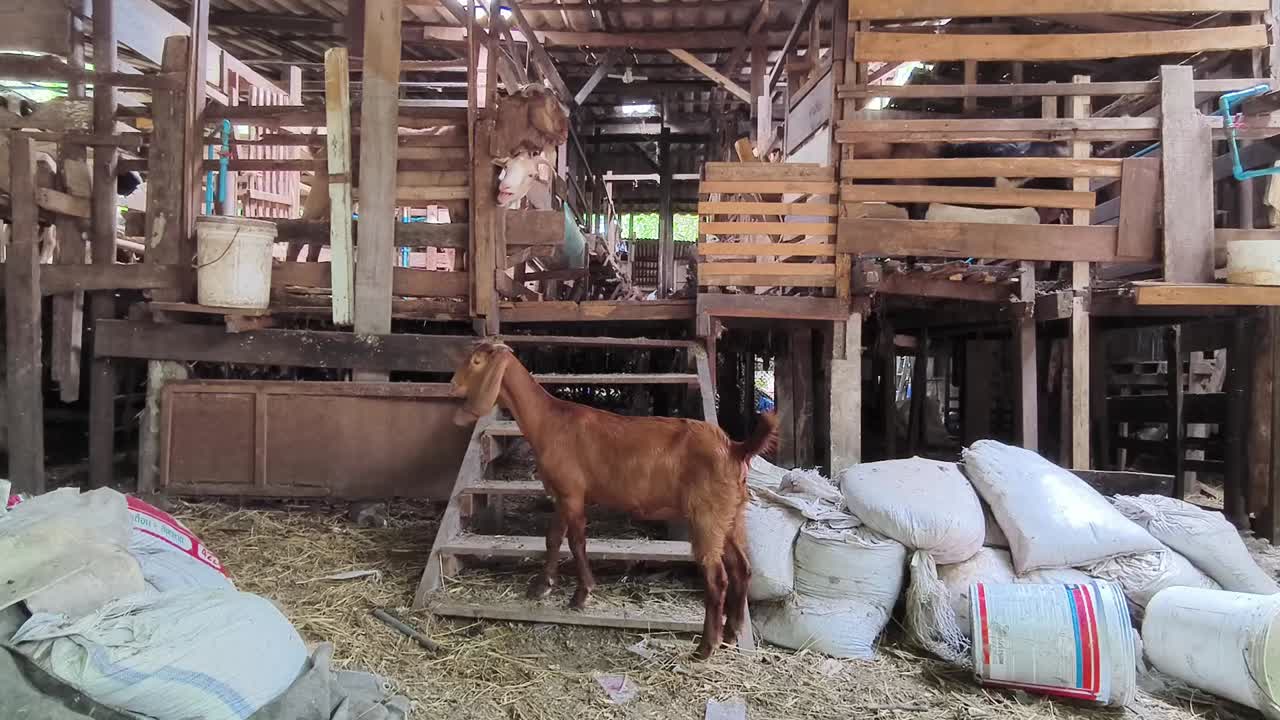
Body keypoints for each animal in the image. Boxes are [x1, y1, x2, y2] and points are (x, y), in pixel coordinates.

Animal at [450, 341, 778, 659]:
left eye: (477, 361)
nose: (452, 386)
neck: (549, 420)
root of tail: (735, 448)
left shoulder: (573, 493)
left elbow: (576, 542)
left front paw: (582, 594)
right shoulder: (561, 492)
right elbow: (553, 538)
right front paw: (542, 586)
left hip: (707, 515)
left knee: (717, 579)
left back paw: (705, 648)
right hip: (731, 513)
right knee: (742, 568)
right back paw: (731, 635)